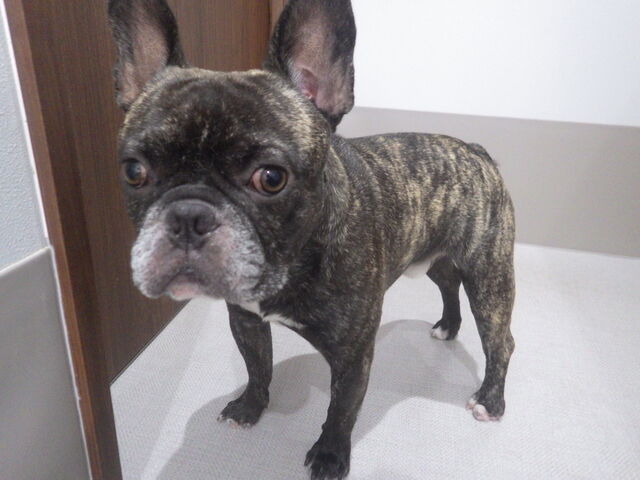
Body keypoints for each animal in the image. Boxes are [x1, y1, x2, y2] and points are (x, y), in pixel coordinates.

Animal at [108, 0, 516, 478]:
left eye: (270, 178)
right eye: (134, 171)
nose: (190, 215)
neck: (294, 261)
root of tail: (474, 150)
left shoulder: (353, 354)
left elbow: (341, 409)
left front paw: (329, 455)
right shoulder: (245, 319)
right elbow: (257, 366)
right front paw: (250, 407)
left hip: (489, 276)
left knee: (499, 339)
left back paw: (491, 400)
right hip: (435, 257)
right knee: (448, 284)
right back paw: (448, 325)